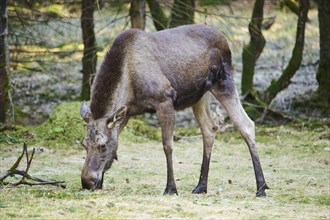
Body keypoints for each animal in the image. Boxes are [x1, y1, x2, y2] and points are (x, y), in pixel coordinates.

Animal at [80, 24, 268, 196]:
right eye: (84, 144)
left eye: (103, 146)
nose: (86, 182)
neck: (129, 84)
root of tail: (224, 40)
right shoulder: (126, 113)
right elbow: (117, 140)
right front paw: (101, 182)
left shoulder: (164, 100)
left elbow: (167, 145)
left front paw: (171, 188)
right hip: (200, 95)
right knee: (210, 128)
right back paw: (201, 186)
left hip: (223, 83)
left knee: (246, 124)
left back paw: (261, 187)